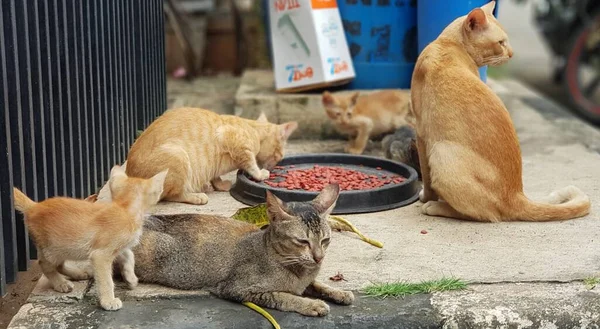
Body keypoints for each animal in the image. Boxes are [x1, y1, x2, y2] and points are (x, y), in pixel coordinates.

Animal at [12, 165, 168, 308]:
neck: (124, 209)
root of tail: (34, 207)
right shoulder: (101, 255)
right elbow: (106, 279)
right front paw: (108, 301)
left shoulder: (118, 247)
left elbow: (129, 255)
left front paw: (131, 278)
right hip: (52, 249)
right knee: (45, 265)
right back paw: (61, 283)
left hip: (63, 247)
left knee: (59, 265)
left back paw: (78, 274)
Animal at [134, 184, 354, 316]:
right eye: (302, 241)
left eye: (325, 240)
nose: (319, 257)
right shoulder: (238, 289)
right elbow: (283, 296)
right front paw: (311, 304)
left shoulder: (306, 280)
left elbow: (317, 284)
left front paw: (338, 292)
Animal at [412, 1, 592, 222]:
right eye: (501, 42)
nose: (512, 54)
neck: (448, 44)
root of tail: (516, 194)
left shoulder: (421, 135)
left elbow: (427, 180)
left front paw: (424, 197)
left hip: (440, 152)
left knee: (486, 214)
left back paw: (435, 206)